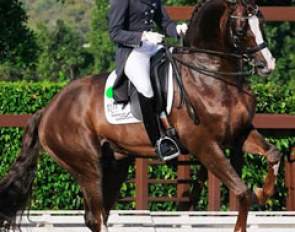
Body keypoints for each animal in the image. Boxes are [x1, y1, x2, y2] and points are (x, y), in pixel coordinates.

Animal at [0, 0, 282, 232]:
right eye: (241, 30)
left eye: (261, 24)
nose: (268, 64)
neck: (211, 74)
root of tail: (48, 109)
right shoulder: (204, 146)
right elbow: (242, 192)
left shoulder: (238, 134)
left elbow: (273, 154)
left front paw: (263, 192)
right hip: (87, 166)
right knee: (94, 217)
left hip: (116, 163)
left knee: (101, 214)